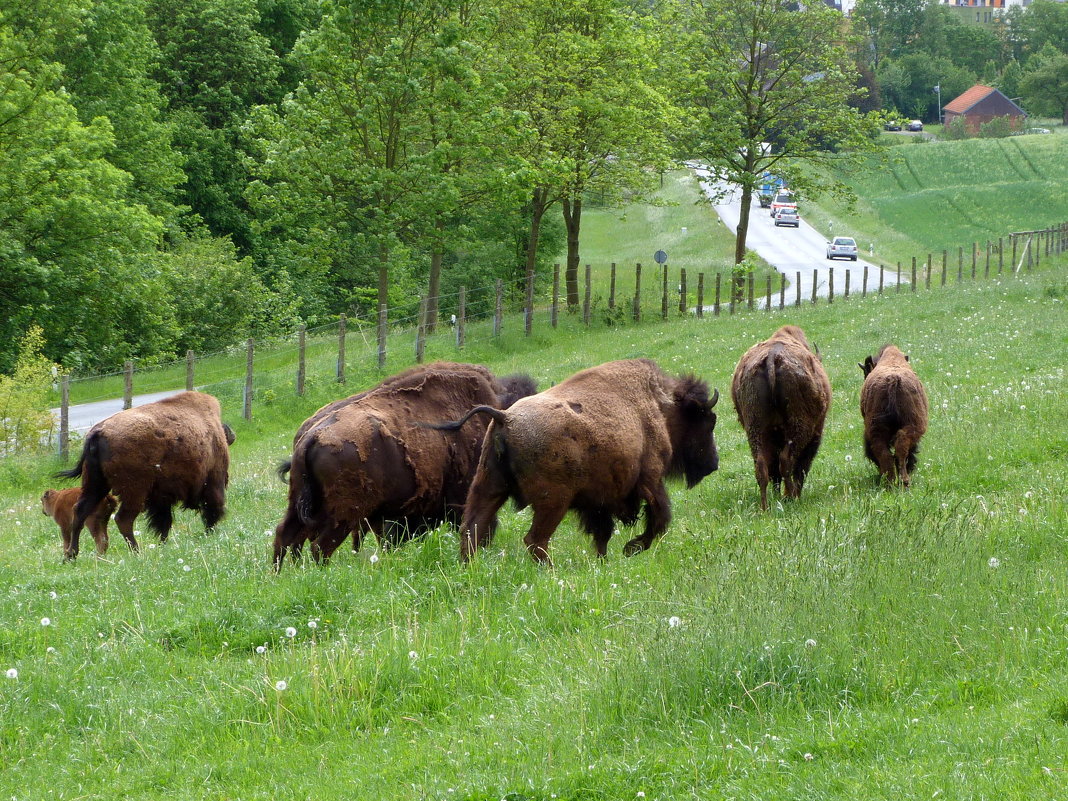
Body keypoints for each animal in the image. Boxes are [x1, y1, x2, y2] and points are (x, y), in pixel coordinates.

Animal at [55, 393, 234, 559]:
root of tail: (98, 433)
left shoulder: (162, 497)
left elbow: (164, 522)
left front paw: (163, 545)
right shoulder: (214, 480)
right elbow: (212, 508)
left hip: (96, 484)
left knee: (80, 511)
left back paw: (71, 555)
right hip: (134, 491)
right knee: (123, 519)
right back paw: (137, 552)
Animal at [429, 356, 721, 563]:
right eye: (707, 421)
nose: (713, 464)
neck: (659, 405)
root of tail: (505, 418)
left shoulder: (598, 501)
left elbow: (603, 534)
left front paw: (604, 562)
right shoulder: (650, 479)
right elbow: (660, 518)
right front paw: (631, 548)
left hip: (489, 486)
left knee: (472, 531)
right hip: (553, 502)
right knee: (534, 539)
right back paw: (550, 572)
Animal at [734, 324, 833, 508]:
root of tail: (772, 358)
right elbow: (801, 467)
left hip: (756, 429)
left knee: (762, 466)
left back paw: (766, 506)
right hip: (799, 429)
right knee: (787, 461)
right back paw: (791, 497)